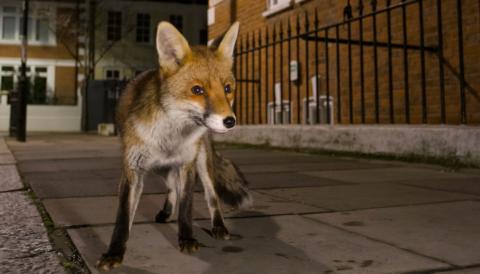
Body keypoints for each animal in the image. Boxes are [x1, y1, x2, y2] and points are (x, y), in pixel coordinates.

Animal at [94, 21, 251, 272]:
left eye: (228, 89)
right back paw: (166, 212)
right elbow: (122, 218)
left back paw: (218, 227)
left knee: (211, 197)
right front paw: (114, 253)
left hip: (201, 164)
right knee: (171, 188)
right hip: (160, 169)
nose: (230, 121)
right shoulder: (133, 170)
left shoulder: (186, 165)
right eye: (197, 90)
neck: (169, 137)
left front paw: (186, 238)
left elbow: (187, 208)